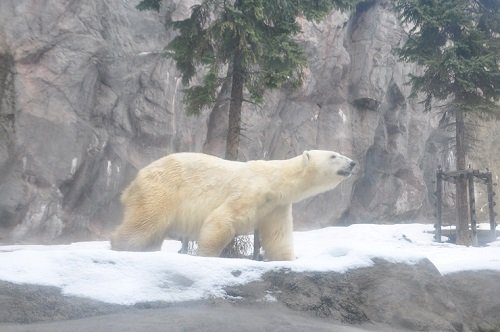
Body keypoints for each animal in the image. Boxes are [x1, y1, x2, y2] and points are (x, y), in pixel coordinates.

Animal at [112, 151, 358, 262]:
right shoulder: (249, 192)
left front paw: (288, 260)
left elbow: (278, 237)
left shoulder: (276, 207)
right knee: (146, 221)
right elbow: (221, 220)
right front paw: (207, 255)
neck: (274, 180)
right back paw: (121, 245)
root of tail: (133, 182)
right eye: (334, 155)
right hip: (161, 189)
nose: (353, 163)